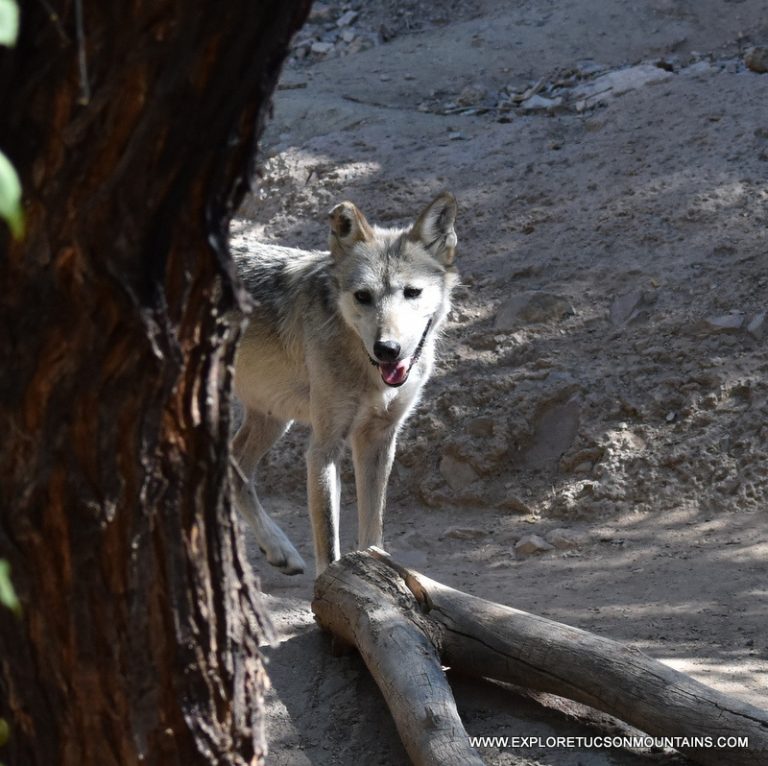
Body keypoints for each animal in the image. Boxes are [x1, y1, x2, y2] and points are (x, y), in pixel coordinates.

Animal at [231, 192, 460, 576]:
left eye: (412, 292)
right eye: (362, 296)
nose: (387, 349)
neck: (366, 369)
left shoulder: (378, 439)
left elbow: (372, 530)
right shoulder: (325, 447)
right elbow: (328, 541)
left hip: (274, 418)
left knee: (235, 466)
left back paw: (277, 548)